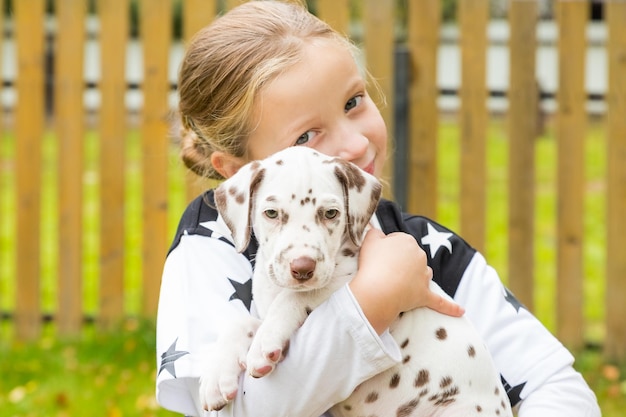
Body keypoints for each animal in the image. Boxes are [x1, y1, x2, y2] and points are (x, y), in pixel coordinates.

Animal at [200, 147, 512, 416]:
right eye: (272, 213)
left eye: (330, 213)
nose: (302, 268)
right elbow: (241, 323)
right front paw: (215, 376)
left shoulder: (346, 282)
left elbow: (296, 297)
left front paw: (263, 346)